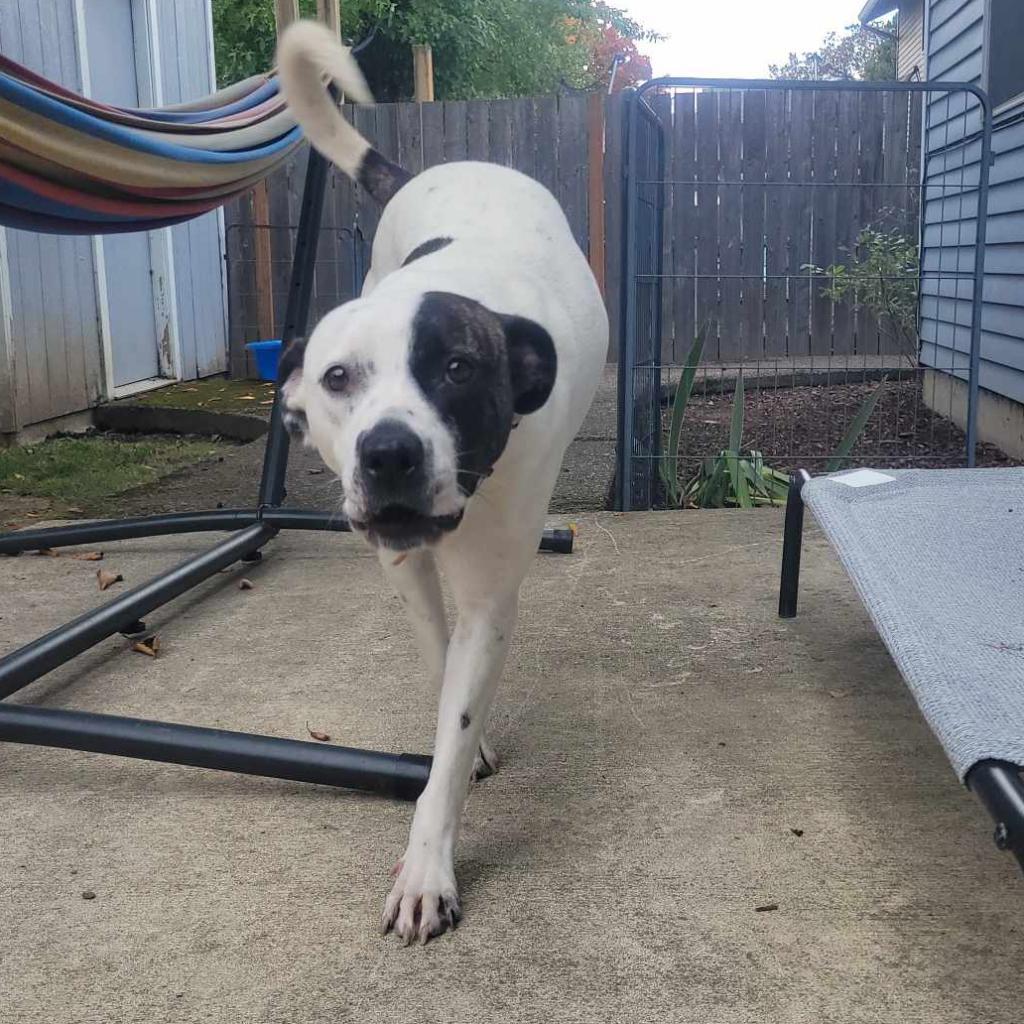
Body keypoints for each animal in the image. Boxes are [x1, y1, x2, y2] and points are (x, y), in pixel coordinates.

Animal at [276, 24, 602, 946]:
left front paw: (427, 868)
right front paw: (466, 740)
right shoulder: (401, 562)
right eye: (337, 378)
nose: (388, 454)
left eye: (457, 368)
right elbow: (437, 657)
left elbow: (454, 730)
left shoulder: (493, 590)